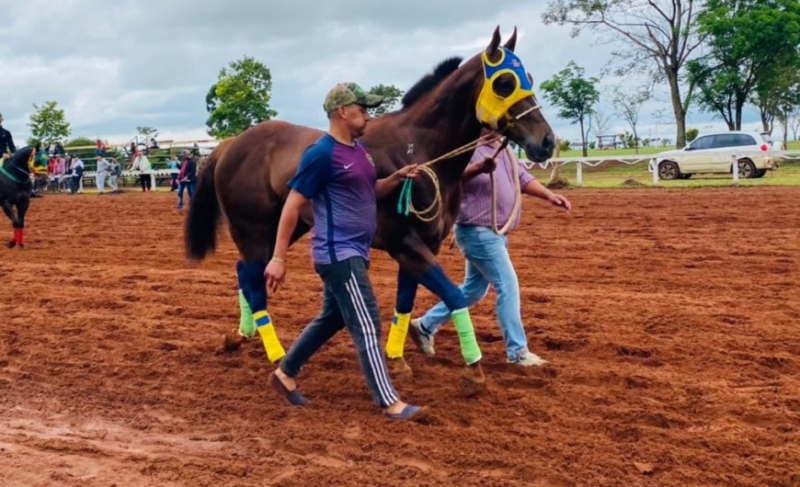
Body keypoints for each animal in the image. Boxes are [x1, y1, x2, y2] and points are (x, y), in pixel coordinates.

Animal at [184, 26, 556, 390]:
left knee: (246, 272)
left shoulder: (423, 246)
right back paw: (274, 352)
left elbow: (405, 302)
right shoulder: (406, 244)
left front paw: (398, 360)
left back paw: (241, 335)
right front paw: (474, 368)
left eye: (529, 78)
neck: (418, 150)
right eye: (505, 82)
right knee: (253, 278)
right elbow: (453, 295)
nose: (547, 141)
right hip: (253, 230)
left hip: (285, 227)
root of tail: (231, 144)